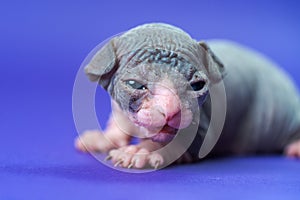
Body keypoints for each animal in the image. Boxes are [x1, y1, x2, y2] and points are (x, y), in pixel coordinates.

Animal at [74, 23, 300, 170]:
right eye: (135, 85)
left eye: (197, 86)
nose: (170, 111)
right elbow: (120, 123)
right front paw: (103, 138)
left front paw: (143, 151)